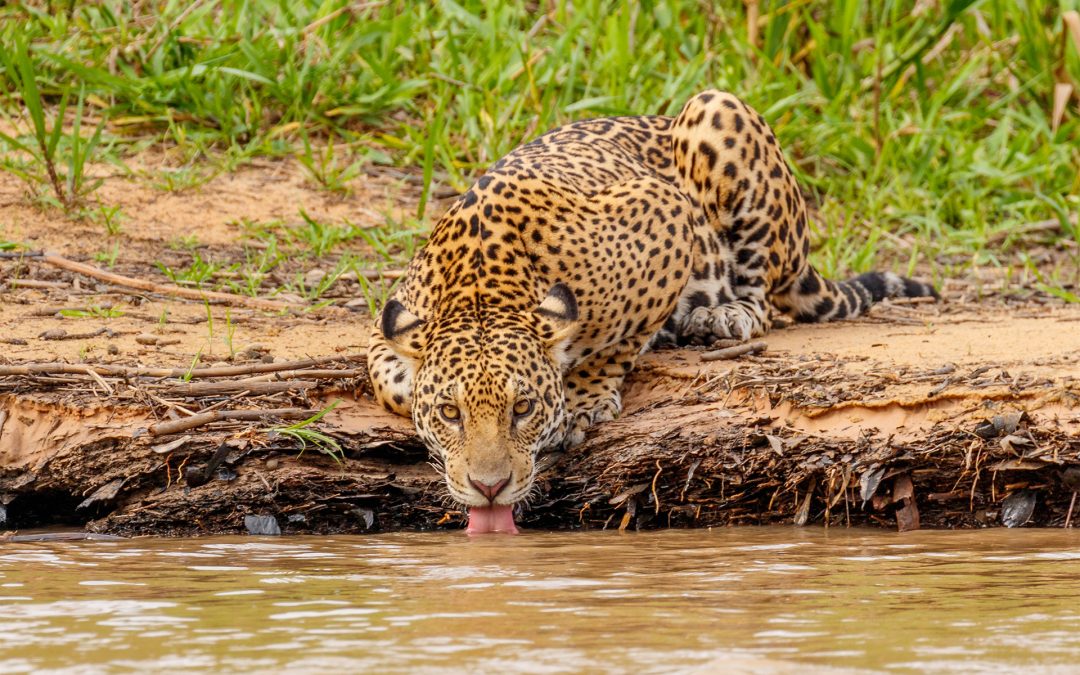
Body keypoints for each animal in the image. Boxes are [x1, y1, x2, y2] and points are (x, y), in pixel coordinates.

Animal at [366, 90, 937, 533]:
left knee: (760, 293)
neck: (483, 290)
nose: (490, 487)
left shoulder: (662, 212)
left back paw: (721, 316)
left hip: (718, 112)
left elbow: (619, 340)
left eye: (522, 408)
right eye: (450, 414)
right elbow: (390, 382)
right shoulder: (392, 322)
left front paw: (583, 403)